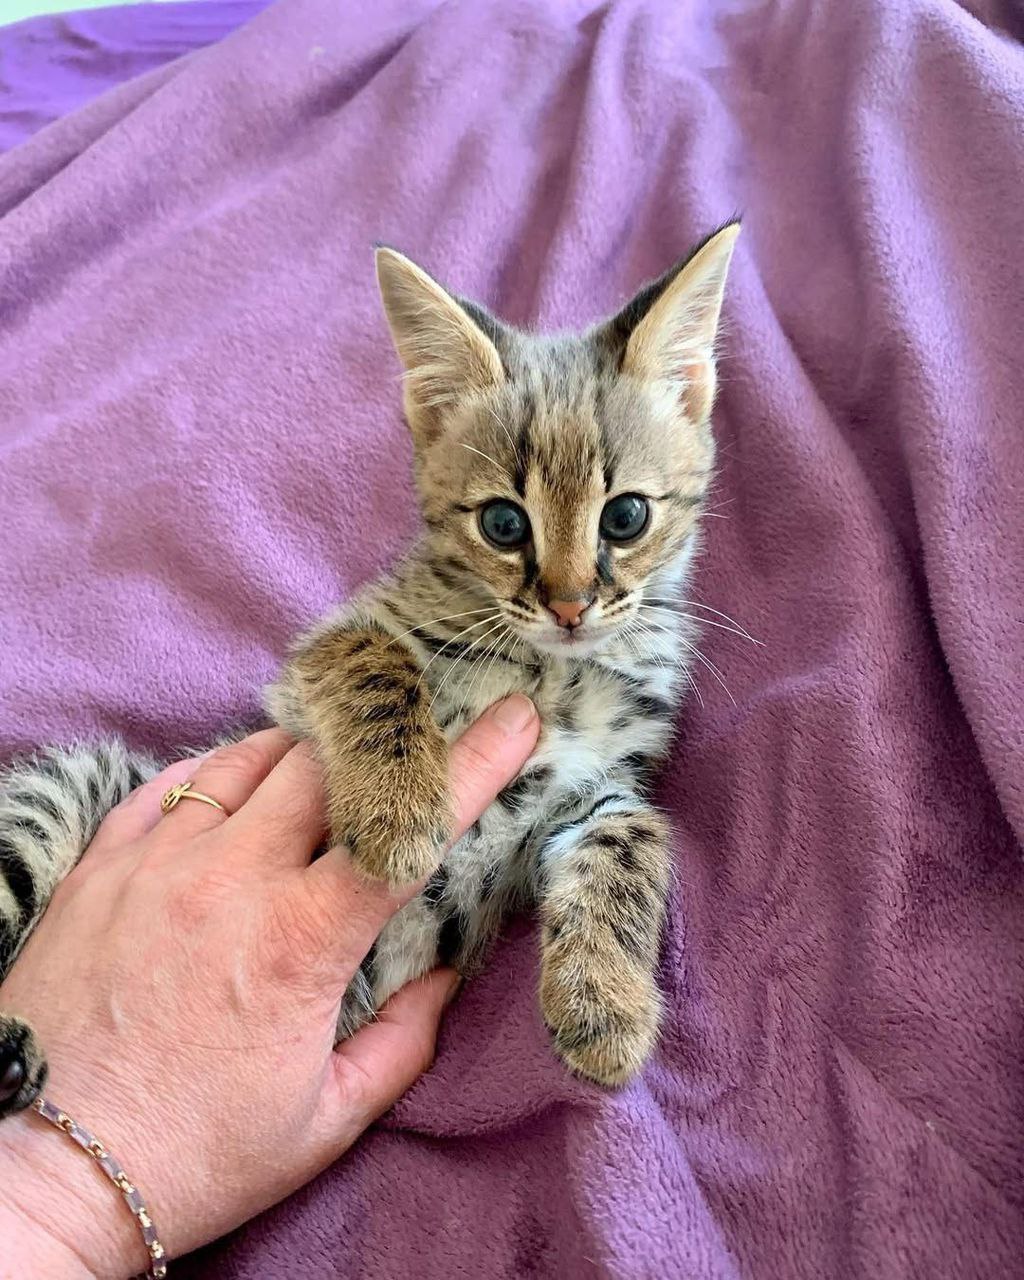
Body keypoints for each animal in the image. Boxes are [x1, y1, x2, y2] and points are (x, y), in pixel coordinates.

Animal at [0, 222, 739, 1117]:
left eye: (625, 516)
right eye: (503, 524)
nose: (569, 605)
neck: (555, 668)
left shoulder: (599, 785)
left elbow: (633, 838)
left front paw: (607, 1009)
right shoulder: (320, 652)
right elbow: (375, 657)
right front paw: (398, 816)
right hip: (76, 781)